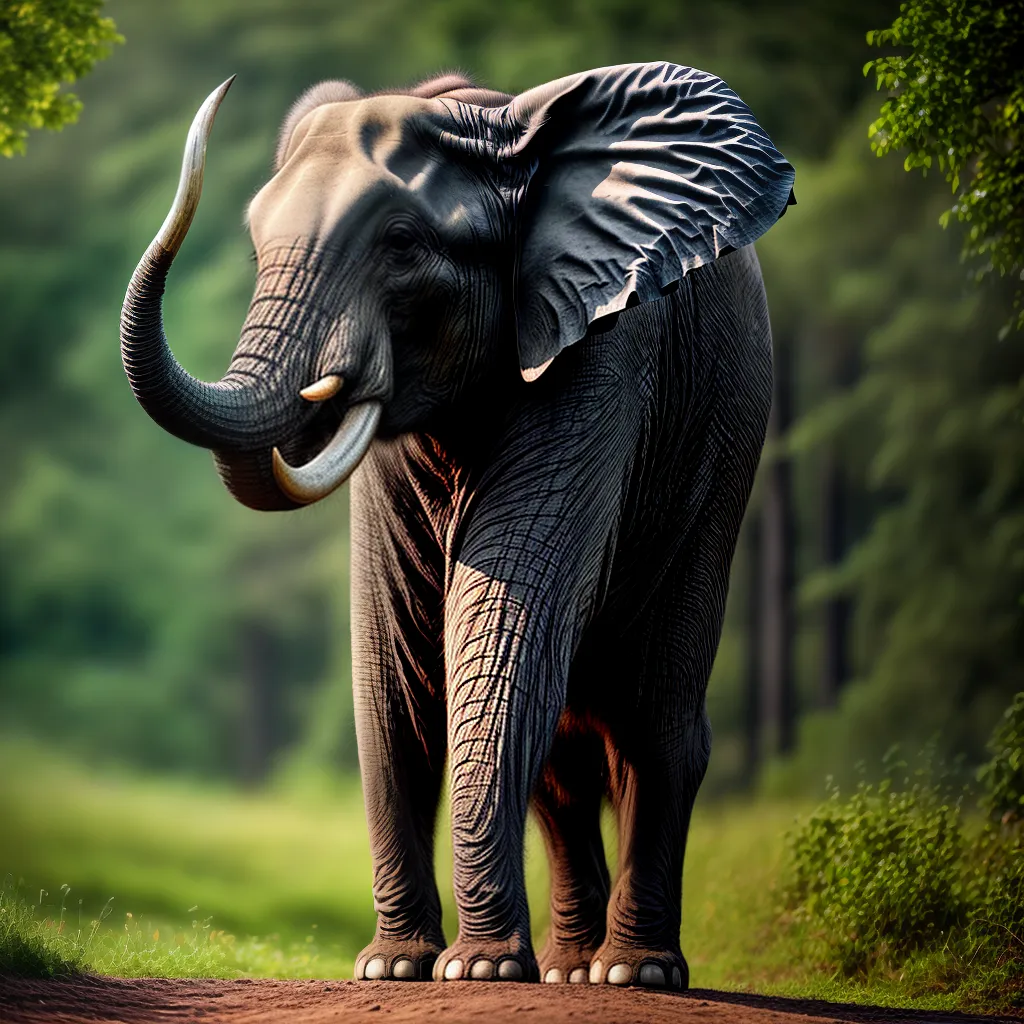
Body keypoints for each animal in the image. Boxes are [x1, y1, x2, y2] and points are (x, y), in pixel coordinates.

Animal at [120, 62, 794, 988]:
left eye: (403, 243)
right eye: (258, 248)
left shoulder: (601, 354)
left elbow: (498, 629)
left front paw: (474, 972)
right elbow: (393, 664)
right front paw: (395, 969)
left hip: (724, 452)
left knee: (656, 724)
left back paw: (632, 974)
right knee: (564, 759)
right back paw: (569, 972)